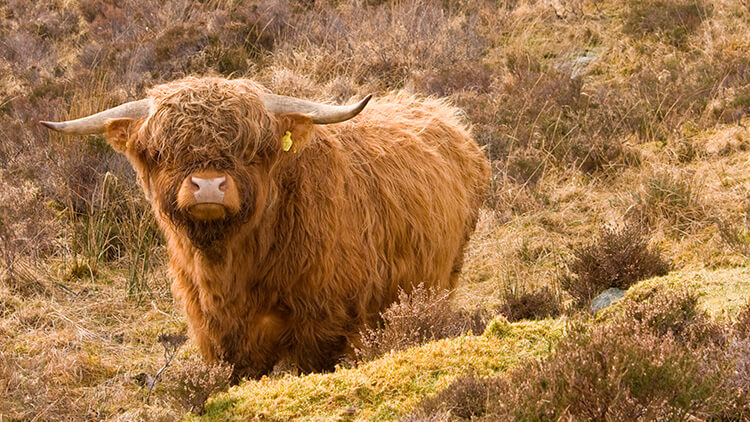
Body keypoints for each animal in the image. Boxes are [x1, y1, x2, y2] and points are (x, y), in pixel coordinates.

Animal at [41, 77, 490, 378]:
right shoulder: (217, 335)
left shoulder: (324, 325)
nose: (208, 185)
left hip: (442, 278)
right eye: (162, 151)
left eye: (250, 150)